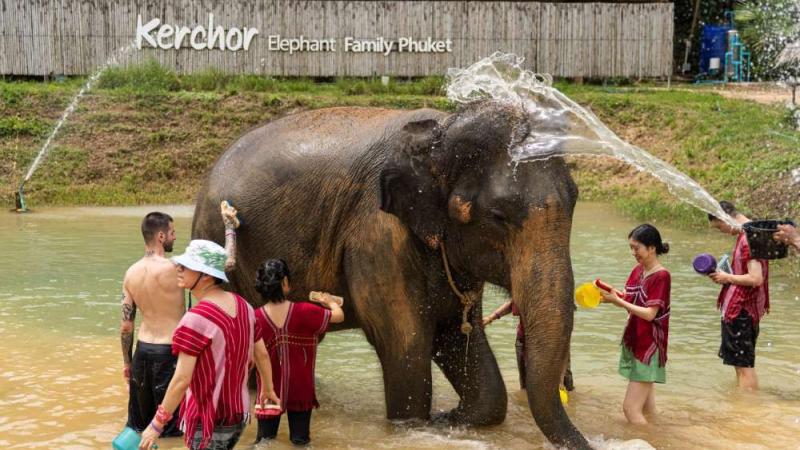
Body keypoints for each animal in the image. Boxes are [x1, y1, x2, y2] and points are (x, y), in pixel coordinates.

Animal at [191, 100, 589, 449]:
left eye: (574, 201)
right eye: (499, 216)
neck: (439, 135)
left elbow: (462, 342)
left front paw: (449, 421)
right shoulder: (376, 233)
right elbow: (406, 345)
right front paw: (421, 427)